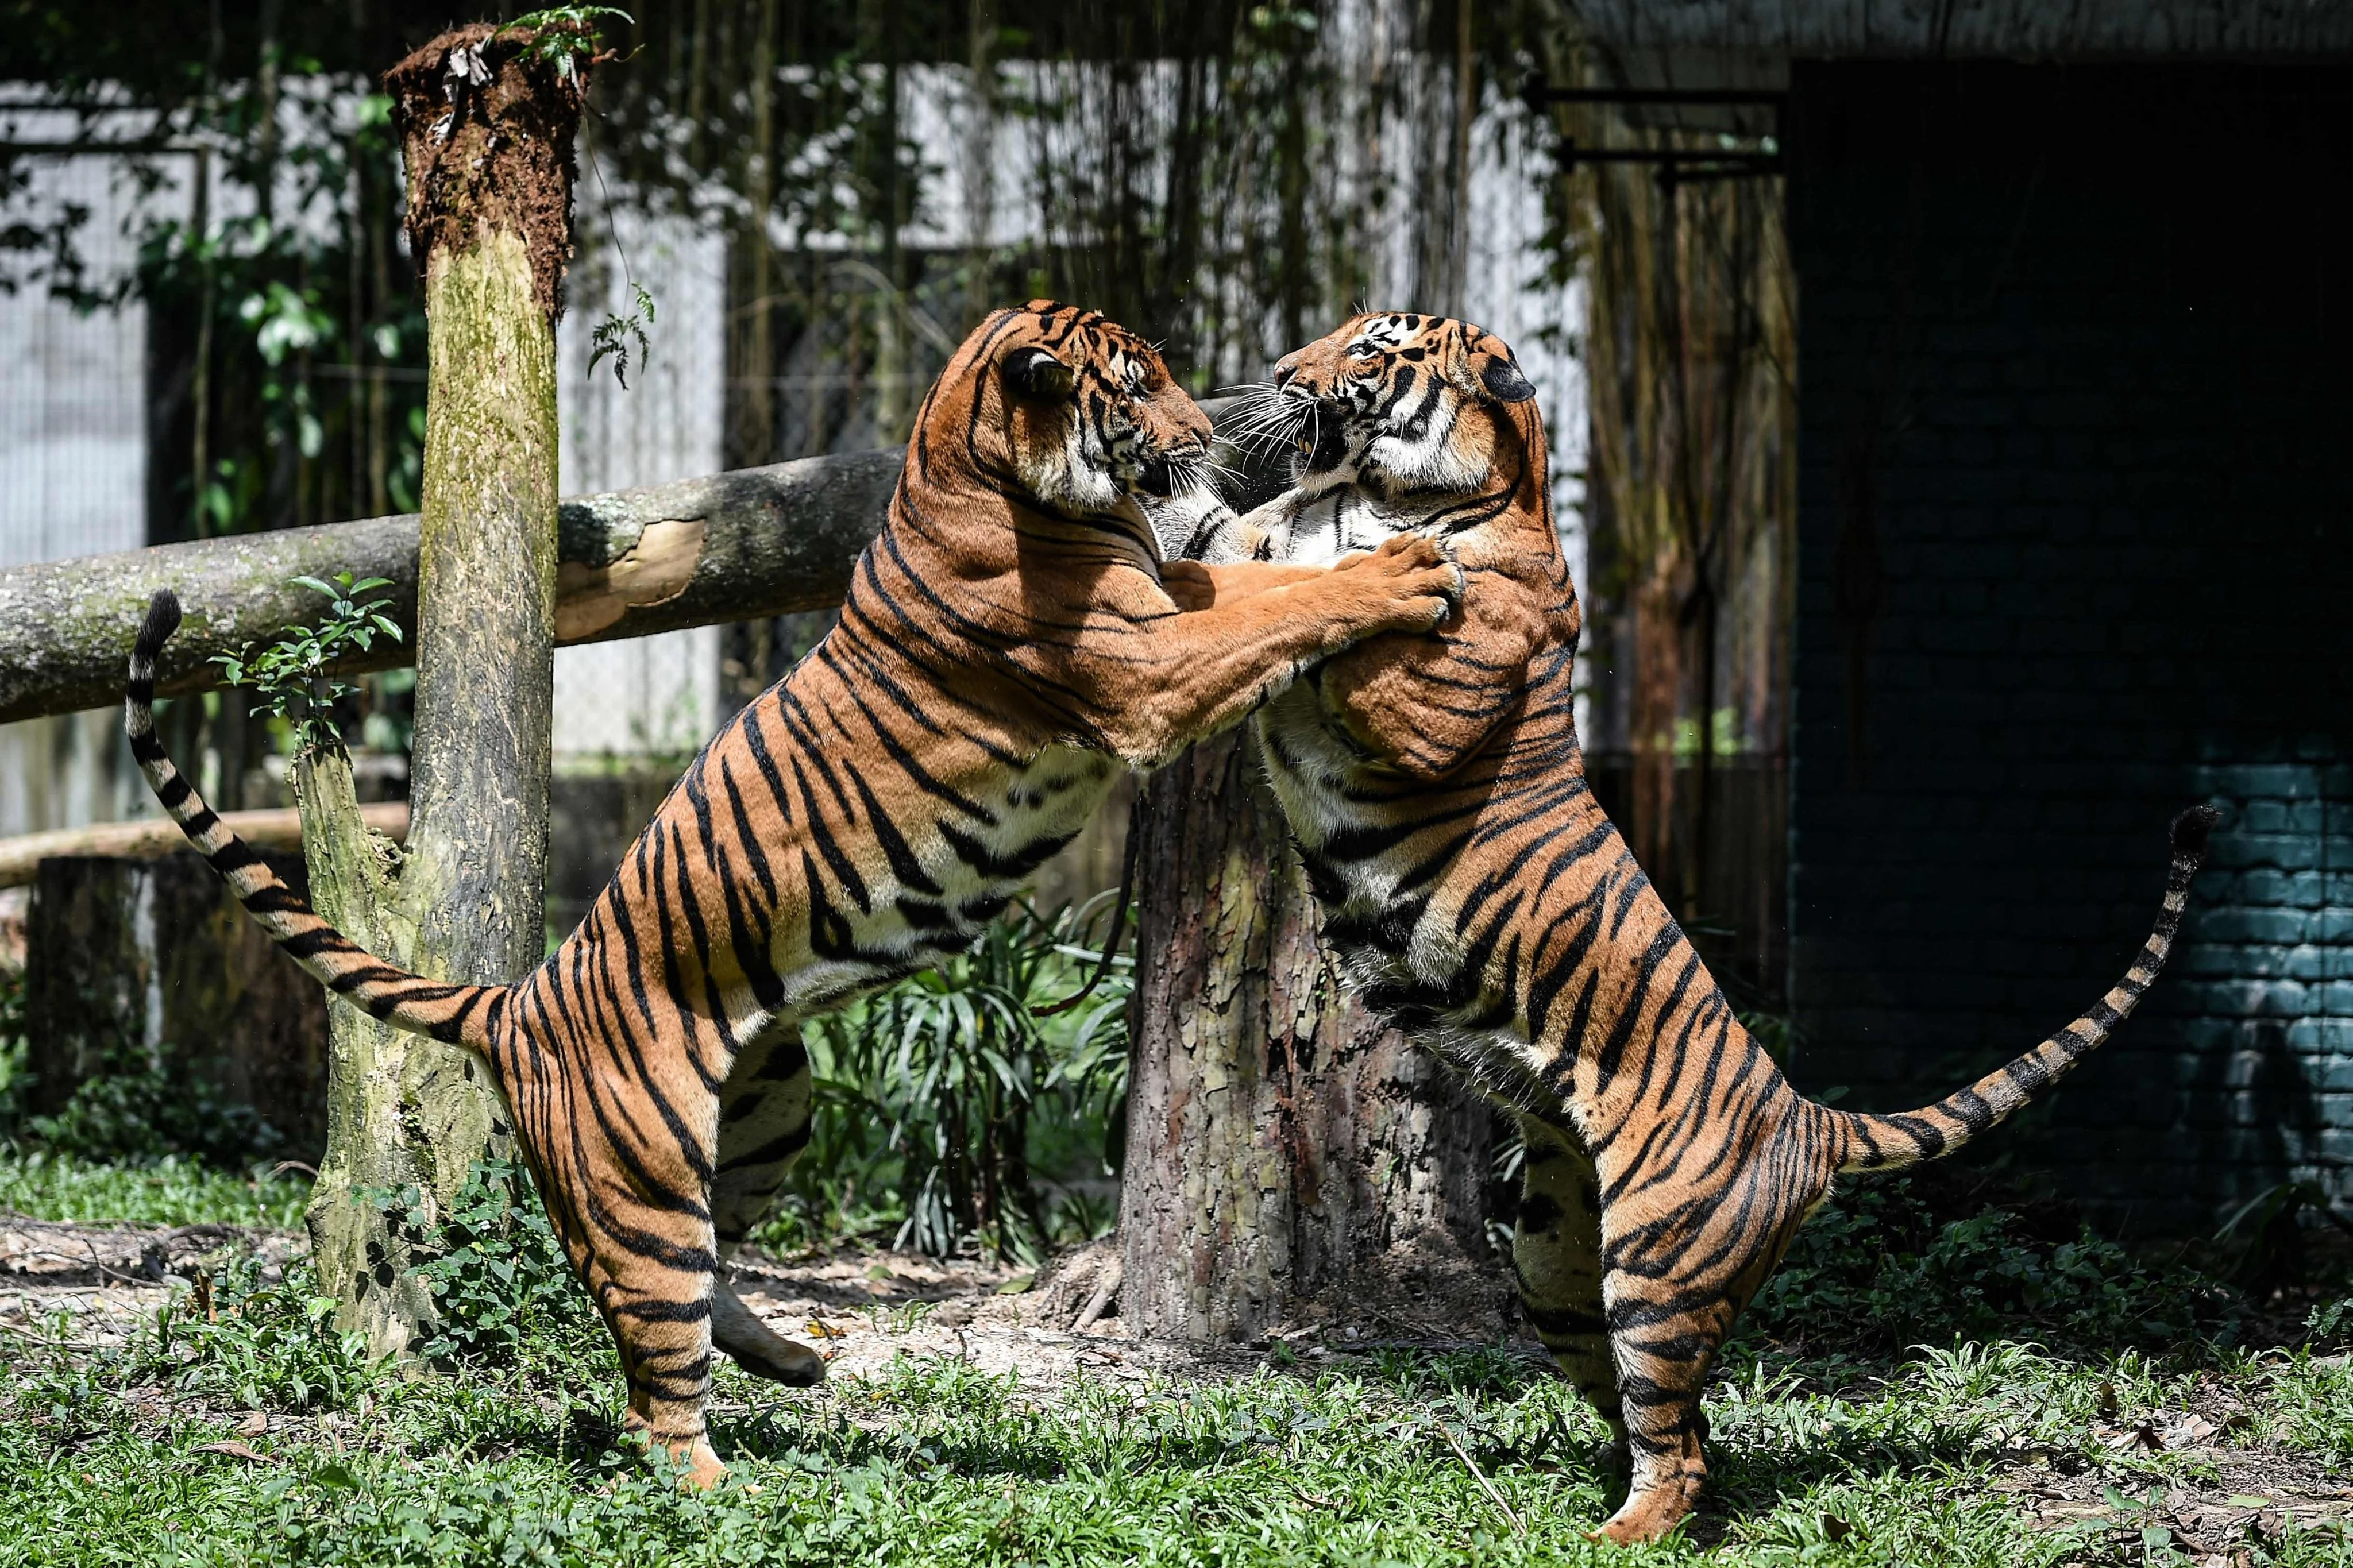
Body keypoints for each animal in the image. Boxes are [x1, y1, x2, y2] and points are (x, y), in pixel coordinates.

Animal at [123, 300, 1466, 1488]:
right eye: (1134, 388)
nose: (1205, 434)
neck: (969, 464)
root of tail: (519, 1001)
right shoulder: (1142, 661)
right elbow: (1283, 604)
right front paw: (1403, 570)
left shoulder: (1169, 601)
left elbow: (1263, 578)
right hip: (643, 1181)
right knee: (655, 1371)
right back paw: (726, 1484)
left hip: (768, 1116)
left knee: (711, 1278)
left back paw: (793, 1363)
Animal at [1194, 310, 2216, 1544]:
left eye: (1370, 350)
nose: (1282, 373)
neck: (1380, 492)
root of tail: (1809, 1119)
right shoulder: (1262, 545)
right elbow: (1224, 547)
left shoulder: (1426, 702)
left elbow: (1349, 618)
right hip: (1552, 1260)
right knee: (1679, 1430)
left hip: (1656, 1265)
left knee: (1678, 1448)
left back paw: (1611, 1538)